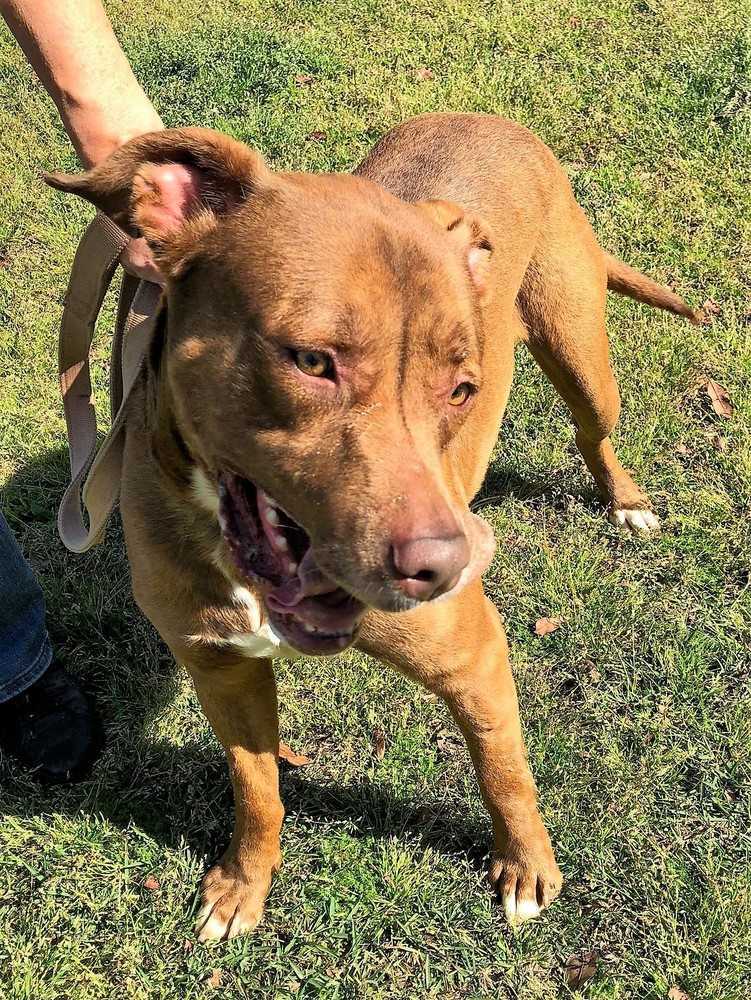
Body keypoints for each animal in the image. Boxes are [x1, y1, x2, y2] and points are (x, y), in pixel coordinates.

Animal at [47, 113, 700, 940]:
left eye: (460, 390)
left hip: (580, 353)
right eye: (311, 360)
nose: (447, 566)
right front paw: (243, 884)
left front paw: (525, 867)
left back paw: (624, 499)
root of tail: (490, 117)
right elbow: (257, 789)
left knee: (592, 433)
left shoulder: (473, 658)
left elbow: (503, 769)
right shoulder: (221, 671)